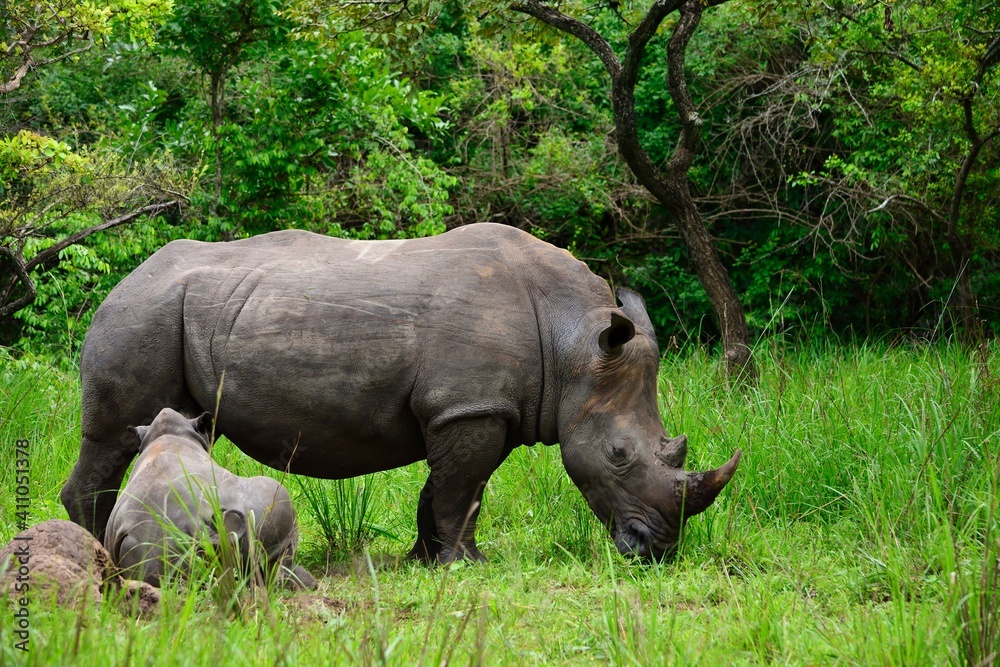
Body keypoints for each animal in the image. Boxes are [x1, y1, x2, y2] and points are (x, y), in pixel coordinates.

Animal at [63, 222, 740, 563]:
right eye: (620, 456)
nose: (658, 551)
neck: (574, 343)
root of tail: (125, 278)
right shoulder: (467, 407)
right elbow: (461, 489)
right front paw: (462, 565)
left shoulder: (476, 407)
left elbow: (453, 488)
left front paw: (430, 558)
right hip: (143, 312)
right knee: (114, 435)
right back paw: (98, 554)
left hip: (172, 309)